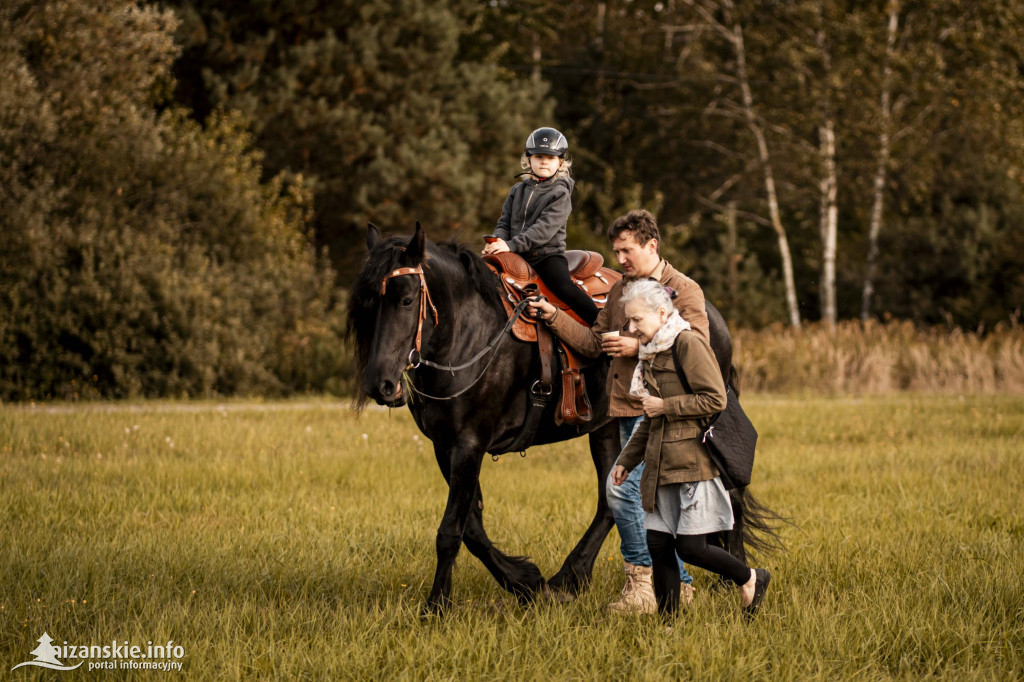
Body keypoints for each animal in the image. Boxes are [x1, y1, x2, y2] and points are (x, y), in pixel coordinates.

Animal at [348, 223, 770, 610]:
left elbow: (451, 530)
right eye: (365, 304)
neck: (470, 334)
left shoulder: (469, 443)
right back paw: (570, 577)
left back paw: (732, 580)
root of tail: (715, 319)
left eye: (406, 300)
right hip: (607, 431)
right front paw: (523, 580)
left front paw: (437, 605)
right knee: (610, 502)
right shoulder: (446, 446)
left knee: (729, 492)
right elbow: (472, 526)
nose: (379, 385)